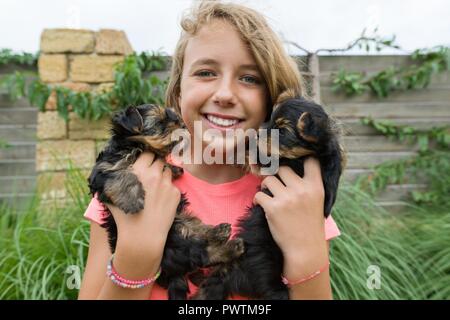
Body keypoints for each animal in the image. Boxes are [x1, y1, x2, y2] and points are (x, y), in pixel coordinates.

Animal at [87, 104, 243, 300]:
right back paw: (229, 245)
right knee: (201, 253)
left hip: (178, 226)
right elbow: (121, 174)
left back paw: (221, 233)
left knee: (198, 238)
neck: (138, 146)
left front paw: (175, 168)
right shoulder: (103, 170)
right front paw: (132, 200)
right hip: (174, 244)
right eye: (160, 122)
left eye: (175, 118)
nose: (182, 126)